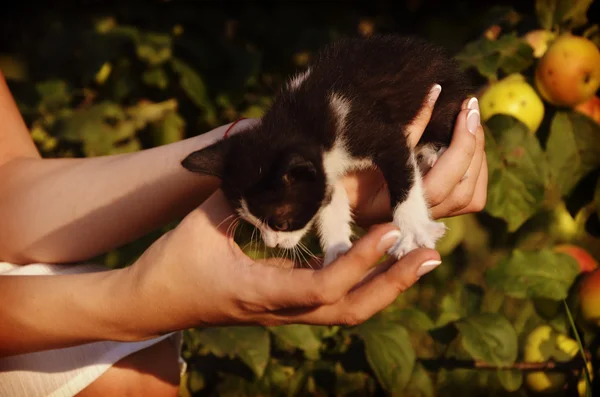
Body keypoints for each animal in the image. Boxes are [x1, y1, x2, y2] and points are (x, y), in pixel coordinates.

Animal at [182, 34, 474, 266]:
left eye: (281, 224)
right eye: (252, 223)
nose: (272, 244)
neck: (299, 123)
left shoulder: (372, 132)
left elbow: (403, 179)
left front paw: (412, 231)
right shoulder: (322, 169)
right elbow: (330, 201)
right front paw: (338, 252)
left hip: (443, 93)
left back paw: (431, 151)